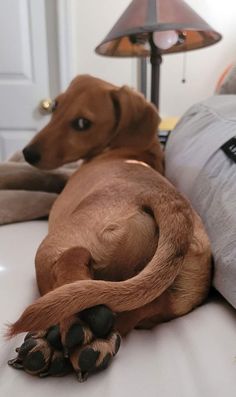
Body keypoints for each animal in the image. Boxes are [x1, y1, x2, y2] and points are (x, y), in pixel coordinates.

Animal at [7, 75, 211, 380]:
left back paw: (66, 332)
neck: (130, 152)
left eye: (82, 123)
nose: (28, 154)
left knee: (72, 260)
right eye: (55, 106)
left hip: (53, 248)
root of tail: (169, 201)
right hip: (162, 297)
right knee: (123, 314)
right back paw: (91, 340)